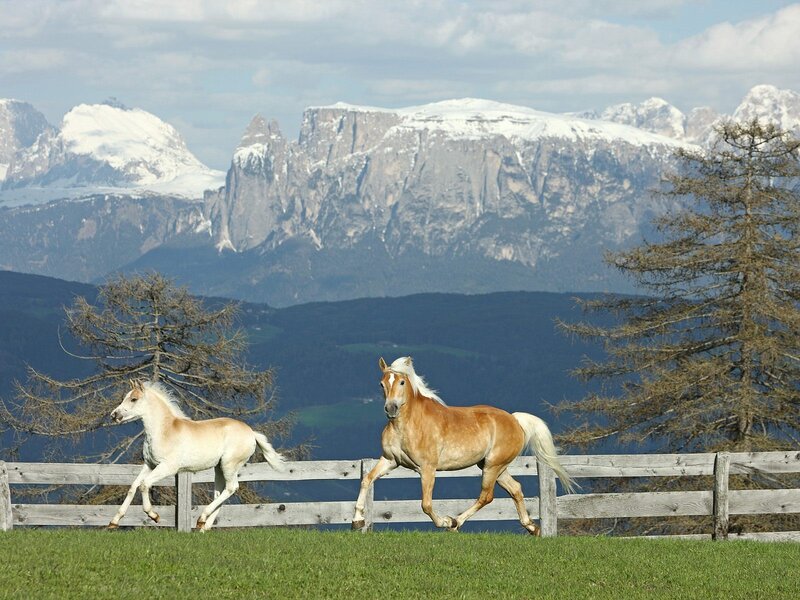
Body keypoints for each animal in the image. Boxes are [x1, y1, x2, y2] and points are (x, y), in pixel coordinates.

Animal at [108, 379, 284, 531]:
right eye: (125, 398)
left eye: (134, 399)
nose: (114, 415)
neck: (164, 431)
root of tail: (251, 433)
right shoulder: (150, 465)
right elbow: (133, 487)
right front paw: (113, 522)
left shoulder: (168, 467)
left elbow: (144, 485)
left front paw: (154, 516)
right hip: (219, 468)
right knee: (220, 492)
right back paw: (203, 527)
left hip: (229, 464)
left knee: (231, 488)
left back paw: (201, 519)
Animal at [352, 357, 575, 534]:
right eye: (382, 384)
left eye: (401, 381)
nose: (391, 409)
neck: (407, 425)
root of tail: (515, 420)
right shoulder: (390, 460)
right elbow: (367, 480)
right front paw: (357, 521)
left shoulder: (427, 468)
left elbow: (426, 504)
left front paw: (443, 522)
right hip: (494, 466)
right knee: (515, 489)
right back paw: (532, 528)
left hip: (493, 466)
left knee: (486, 496)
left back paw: (455, 522)